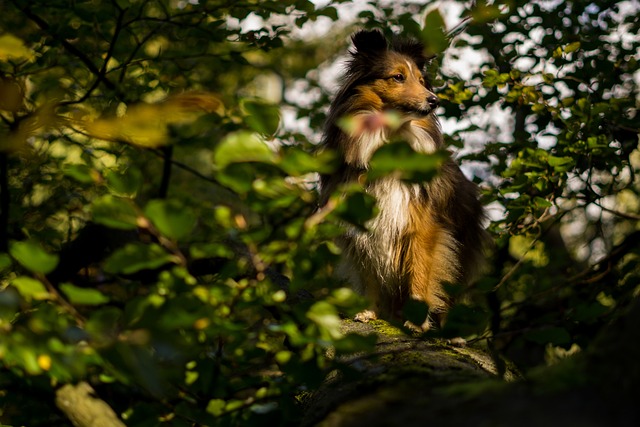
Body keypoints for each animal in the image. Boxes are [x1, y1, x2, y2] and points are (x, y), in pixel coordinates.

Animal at [318, 30, 488, 332]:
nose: (434, 100)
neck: (389, 141)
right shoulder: (362, 226)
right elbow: (369, 274)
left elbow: (420, 269)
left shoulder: (422, 225)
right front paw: (369, 312)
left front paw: (417, 321)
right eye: (398, 77)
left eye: (421, 80)